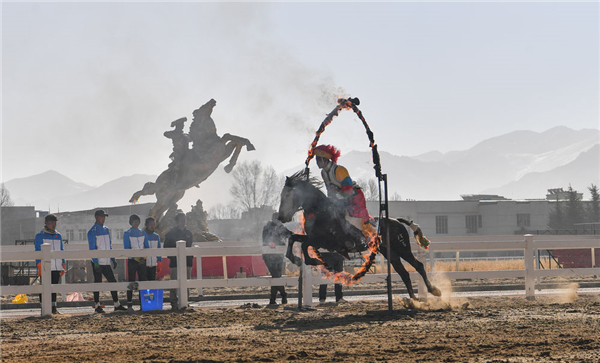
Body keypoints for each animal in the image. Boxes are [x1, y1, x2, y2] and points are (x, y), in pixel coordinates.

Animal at [278, 171, 442, 302]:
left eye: (287, 195)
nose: (281, 217)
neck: (320, 211)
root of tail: (397, 221)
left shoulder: (322, 241)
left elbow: (304, 245)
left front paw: (314, 260)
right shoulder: (314, 239)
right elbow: (293, 239)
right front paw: (296, 258)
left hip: (402, 248)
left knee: (418, 265)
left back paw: (433, 291)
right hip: (391, 253)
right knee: (404, 273)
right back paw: (413, 299)